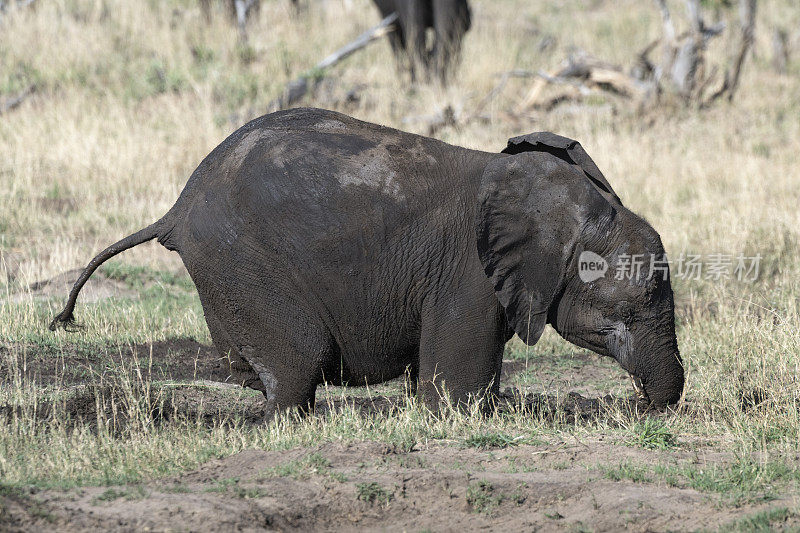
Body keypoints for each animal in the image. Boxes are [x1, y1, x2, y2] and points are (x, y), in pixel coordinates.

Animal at [53, 107, 684, 416]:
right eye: (639, 299)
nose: (646, 411)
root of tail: (176, 209)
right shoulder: (468, 274)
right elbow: (455, 392)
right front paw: (452, 416)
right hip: (240, 260)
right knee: (299, 361)